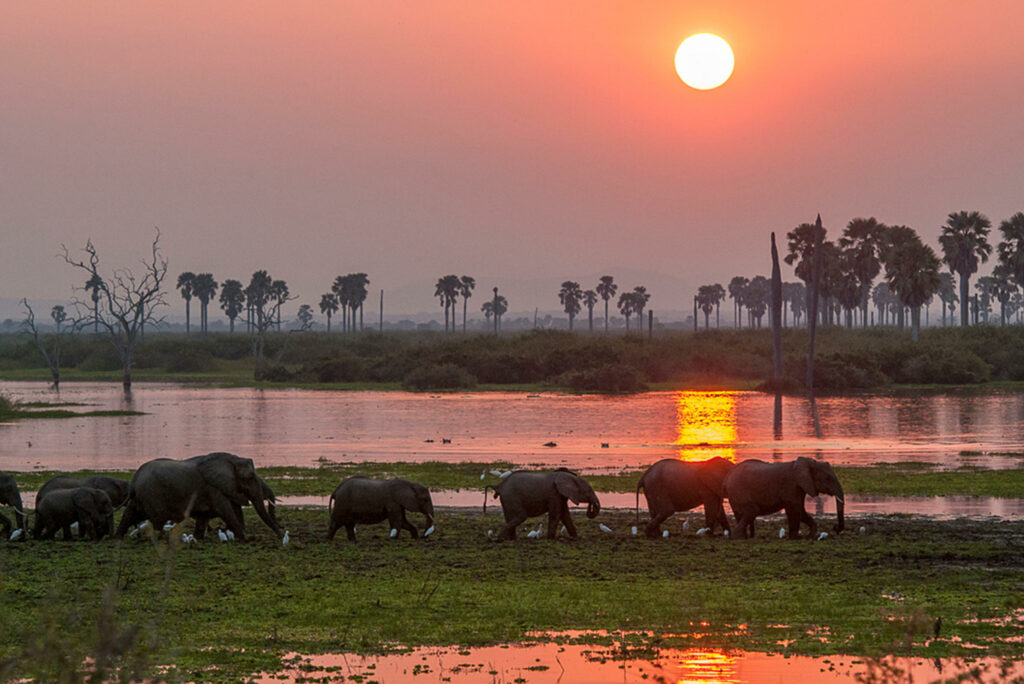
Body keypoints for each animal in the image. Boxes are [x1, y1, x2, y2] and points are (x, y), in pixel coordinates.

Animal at [115, 450, 282, 540]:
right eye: (250, 477)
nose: (281, 534)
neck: (231, 459)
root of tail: (134, 480)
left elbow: (214, 514)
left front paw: (199, 538)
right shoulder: (213, 488)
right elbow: (227, 511)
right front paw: (245, 538)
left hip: (141, 497)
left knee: (129, 514)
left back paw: (117, 538)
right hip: (152, 495)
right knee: (157, 521)